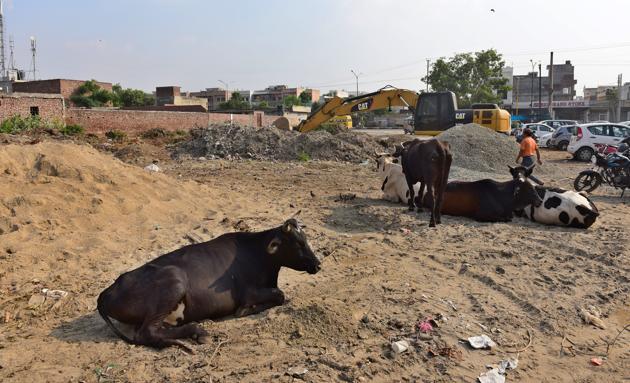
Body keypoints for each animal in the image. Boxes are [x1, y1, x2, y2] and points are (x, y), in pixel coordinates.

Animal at [97, 219, 320, 352]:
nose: (318, 264)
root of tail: (106, 292)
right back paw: (195, 333)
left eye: (306, 239)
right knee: (147, 332)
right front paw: (246, 310)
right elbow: (279, 294)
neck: (260, 255)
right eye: (298, 243)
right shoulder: (249, 293)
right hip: (174, 281)